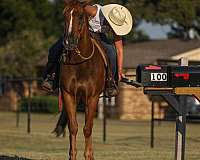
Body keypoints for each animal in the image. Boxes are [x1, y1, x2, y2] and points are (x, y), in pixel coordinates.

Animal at [54, 1, 106, 160]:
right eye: (64, 15)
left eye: (81, 16)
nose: (68, 42)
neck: (81, 64)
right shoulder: (68, 95)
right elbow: (73, 127)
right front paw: (72, 155)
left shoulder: (92, 97)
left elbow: (87, 128)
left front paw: (88, 155)